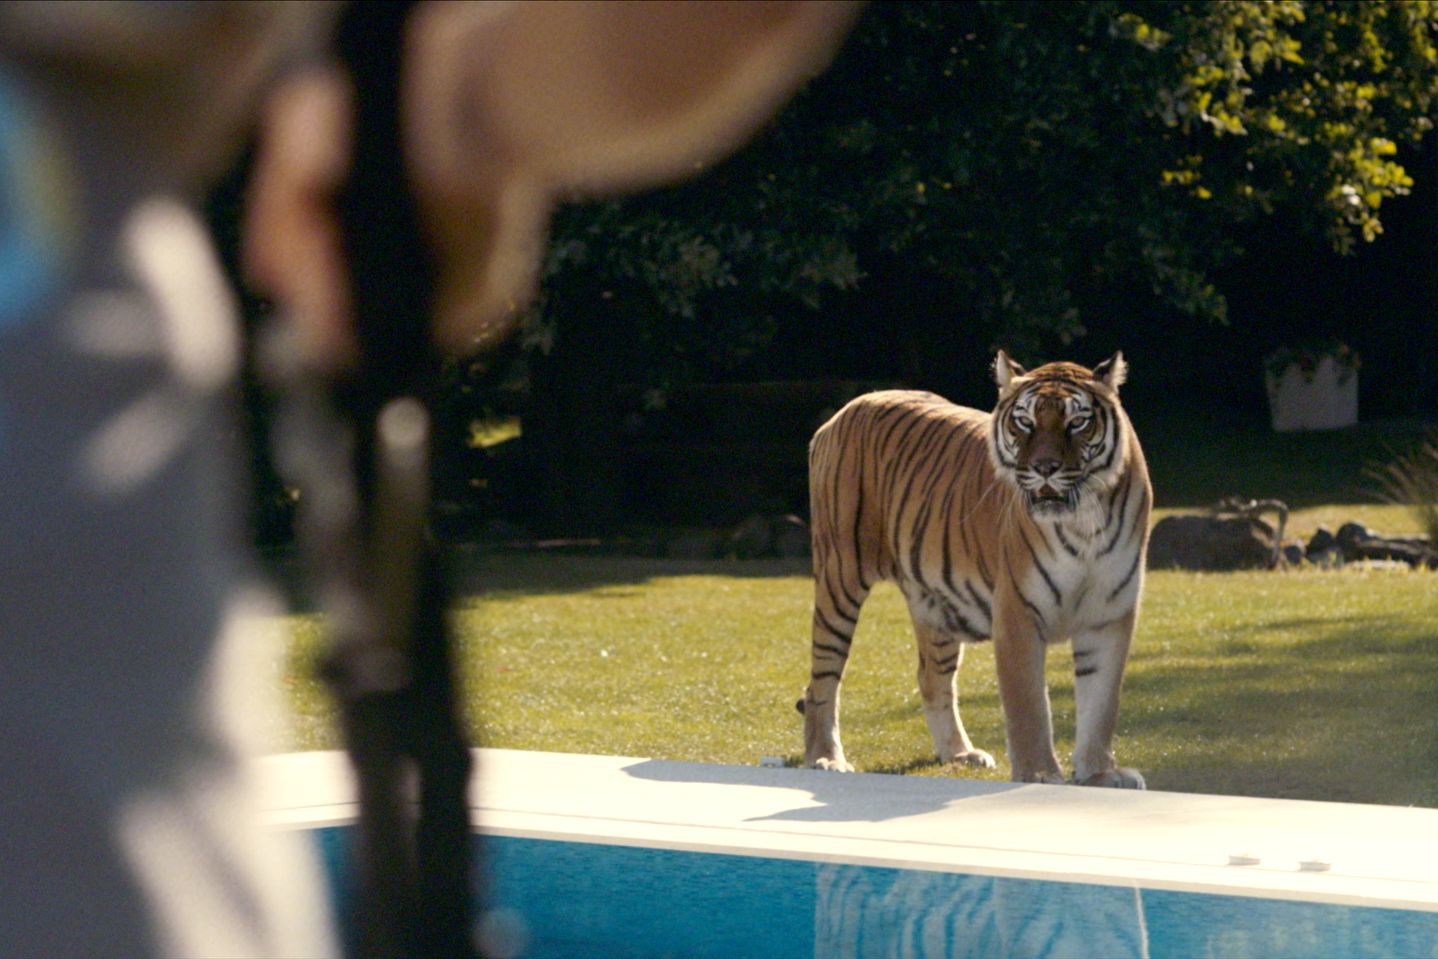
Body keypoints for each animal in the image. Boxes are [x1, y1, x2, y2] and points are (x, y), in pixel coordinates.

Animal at [798, 351, 1151, 787]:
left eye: (1077, 423)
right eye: (1025, 422)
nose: (1045, 467)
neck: (1083, 521)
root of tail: (847, 408)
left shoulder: (1109, 613)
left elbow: (1100, 704)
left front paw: (1099, 773)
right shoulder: (1018, 612)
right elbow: (1029, 706)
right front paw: (1039, 775)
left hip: (937, 604)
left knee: (931, 678)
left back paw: (960, 752)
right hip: (840, 576)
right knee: (822, 680)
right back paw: (826, 758)